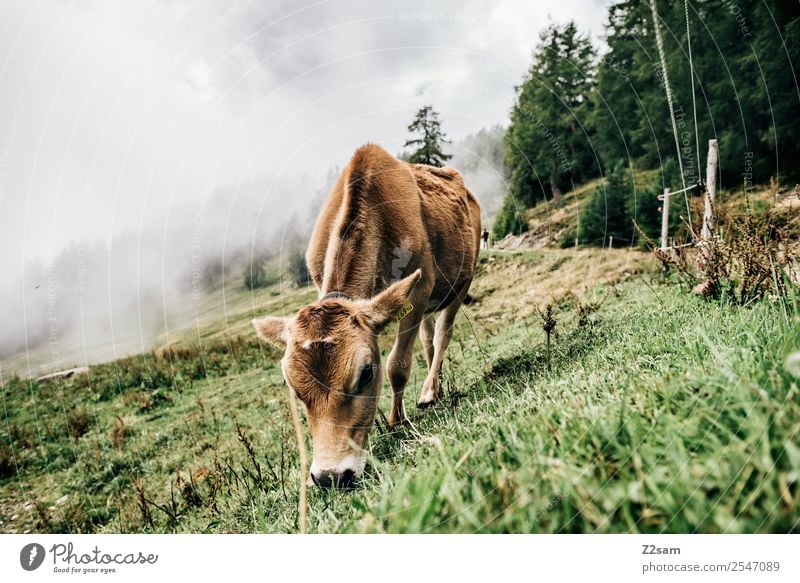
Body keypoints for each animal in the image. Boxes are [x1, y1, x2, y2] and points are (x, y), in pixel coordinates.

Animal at [253, 143, 478, 488]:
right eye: (295, 389)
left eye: (366, 374)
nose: (330, 476)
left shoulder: (418, 288)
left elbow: (398, 364)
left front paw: (397, 420)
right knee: (428, 338)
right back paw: (435, 388)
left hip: (461, 281)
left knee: (442, 334)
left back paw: (428, 390)